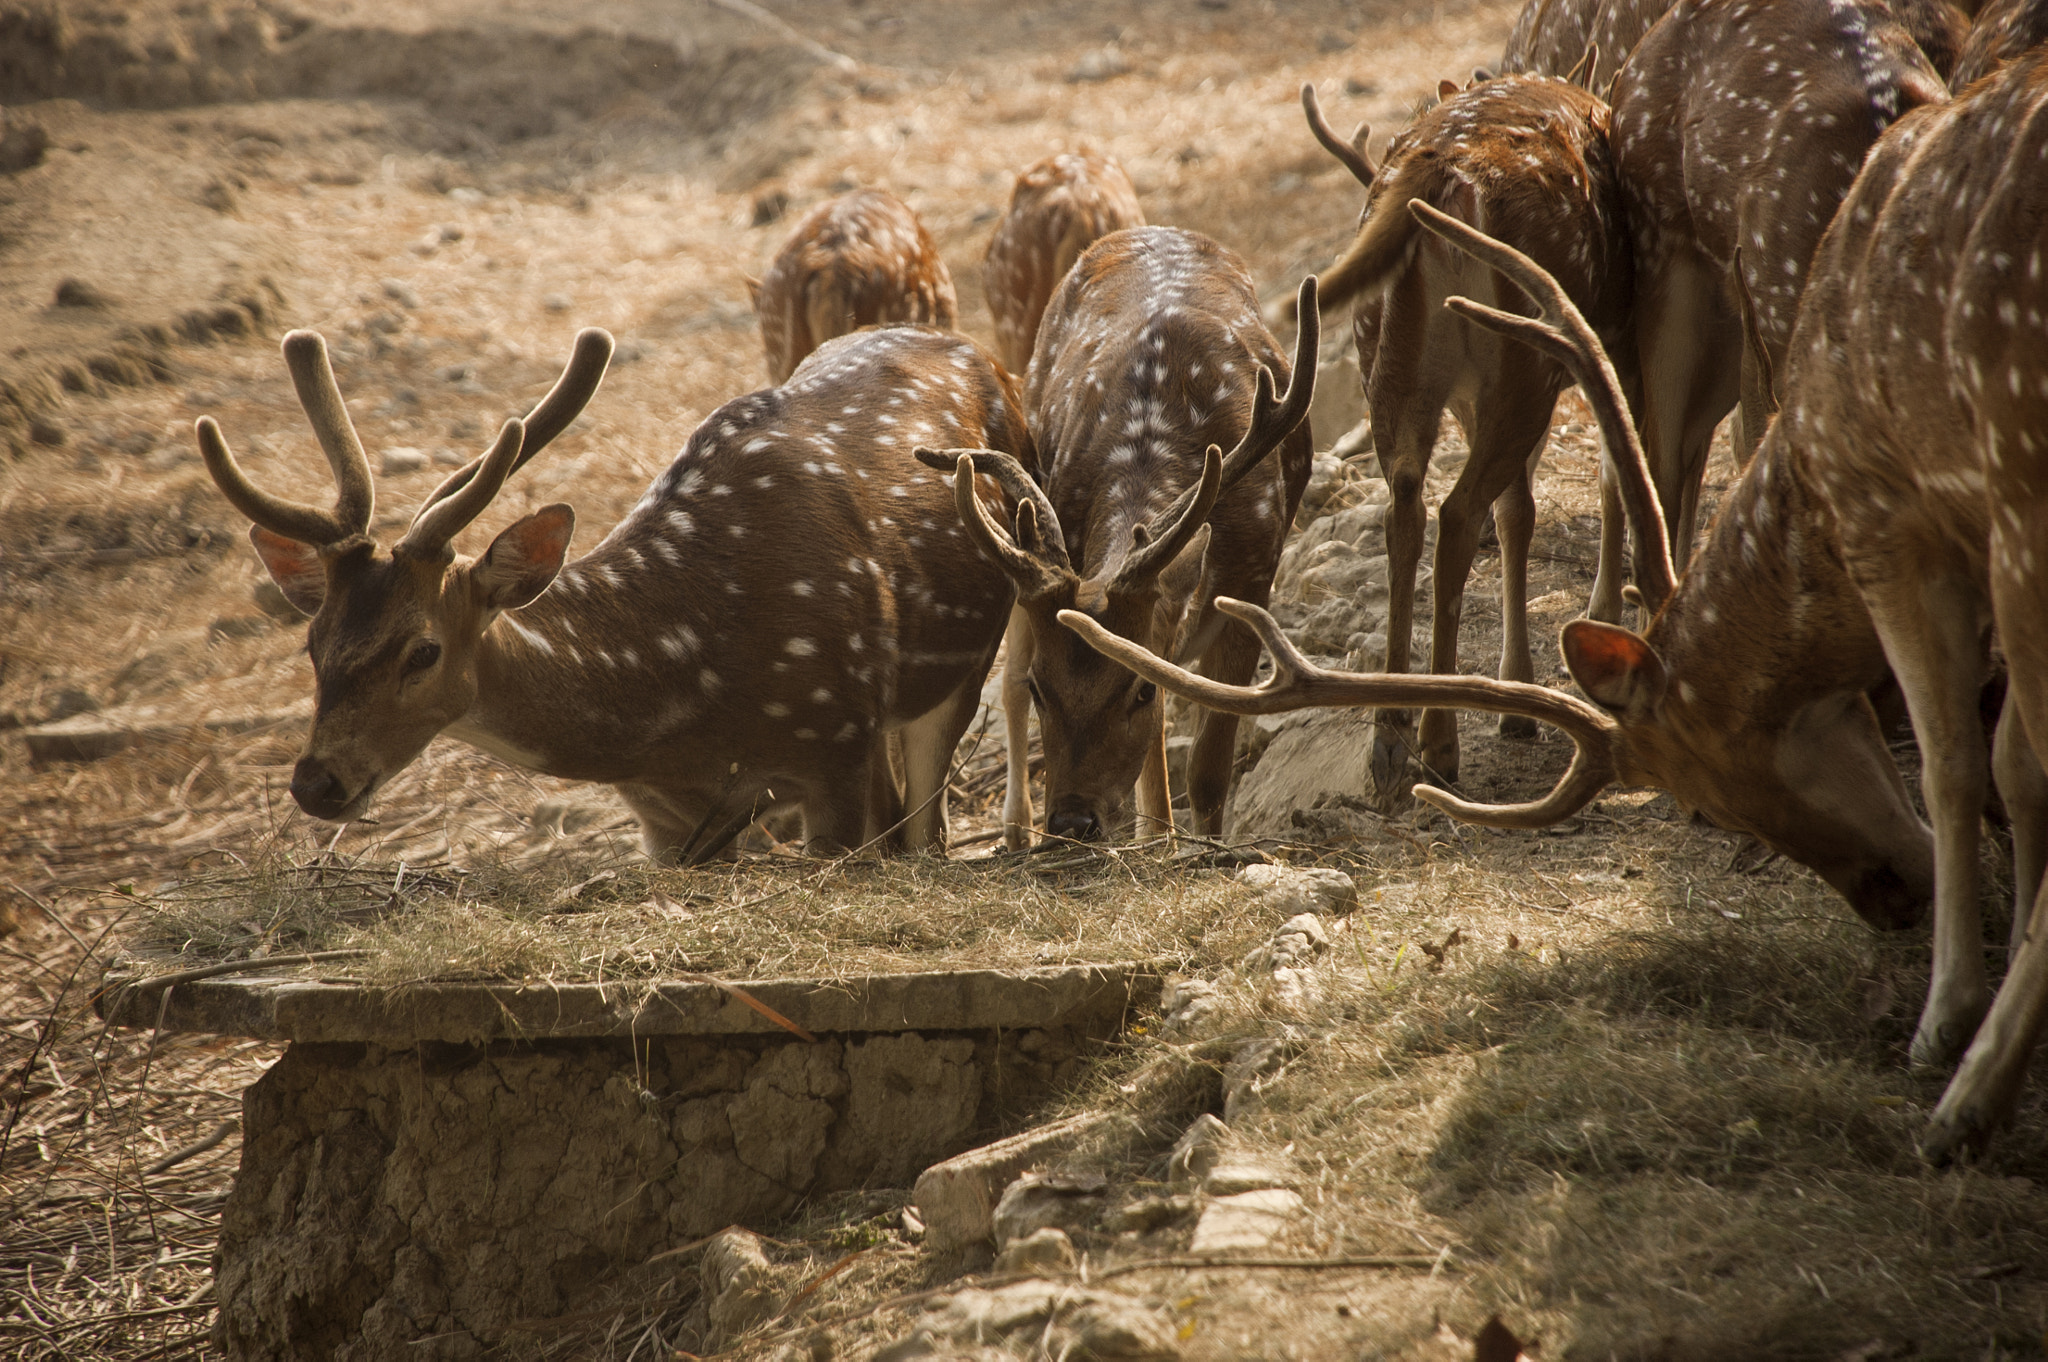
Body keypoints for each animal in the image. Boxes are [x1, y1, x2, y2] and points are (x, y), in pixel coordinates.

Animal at [197, 322, 1036, 865]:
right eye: (312, 645)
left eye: (423, 650)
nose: (317, 782)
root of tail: (989, 357)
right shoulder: (664, 818)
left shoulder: (836, 741)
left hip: (957, 666)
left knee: (924, 830)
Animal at [913, 227, 1316, 849]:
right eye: (1044, 688)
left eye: (1138, 692)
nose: (1072, 822)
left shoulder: (1254, 570)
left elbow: (1207, 763)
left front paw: (1202, 845)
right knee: (1004, 684)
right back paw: (1019, 830)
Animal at [1282, 75, 1637, 807]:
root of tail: (1443, 173)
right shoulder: (1613, 334)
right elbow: (1609, 474)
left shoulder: (1472, 394)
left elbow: (1519, 510)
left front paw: (1516, 691)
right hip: (1525, 352)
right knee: (1457, 512)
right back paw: (1439, 745)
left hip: (1388, 353)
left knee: (1408, 505)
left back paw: (1391, 741)